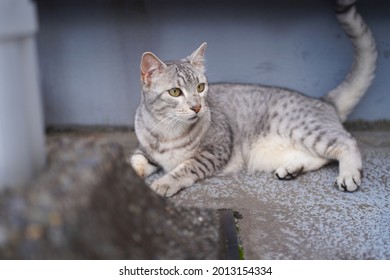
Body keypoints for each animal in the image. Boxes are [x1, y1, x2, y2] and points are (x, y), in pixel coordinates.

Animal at [131, 0, 378, 197]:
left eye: (200, 87)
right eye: (175, 92)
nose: (197, 107)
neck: (166, 133)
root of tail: (324, 101)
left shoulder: (215, 151)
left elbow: (185, 168)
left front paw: (163, 183)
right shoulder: (144, 151)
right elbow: (135, 162)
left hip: (305, 128)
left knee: (346, 142)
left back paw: (348, 175)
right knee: (321, 157)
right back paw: (291, 169)